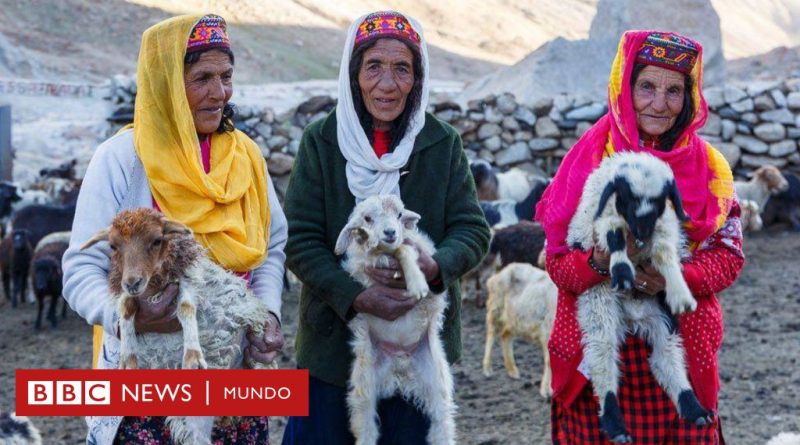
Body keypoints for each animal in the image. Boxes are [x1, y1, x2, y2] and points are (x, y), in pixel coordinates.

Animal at [81, 208, 274, 444]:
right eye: (113, 246)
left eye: (156, 240)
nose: (133, 282)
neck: (153, 285)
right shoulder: (128, 291)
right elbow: (126, 308)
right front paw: (128, 356)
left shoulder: (188, 279)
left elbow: (186, 307)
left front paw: (192, 356)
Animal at [482, 262, 556, 398]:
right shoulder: (548, 331)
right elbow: (549, 362)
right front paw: (546, 390)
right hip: (496, 310)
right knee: (491, 335)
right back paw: (487, 368)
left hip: (514, 319)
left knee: (505, 336)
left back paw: (512, 370)